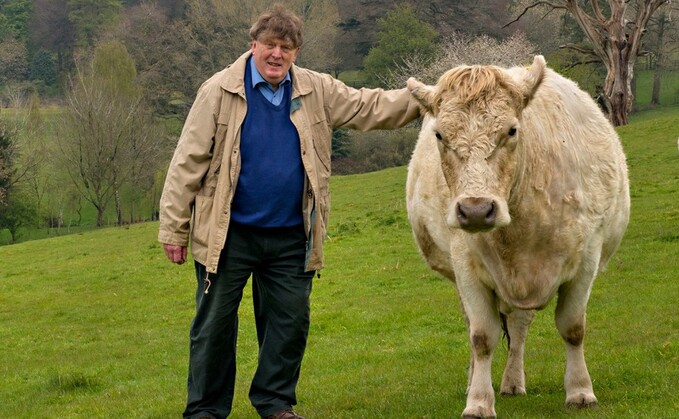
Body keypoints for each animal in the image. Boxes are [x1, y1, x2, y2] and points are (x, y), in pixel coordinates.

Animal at [404, 56, 632, 419]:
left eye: (511, 130)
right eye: (439, 134)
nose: (476, 210)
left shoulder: (587, 259)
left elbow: (573, 328)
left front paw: (581, 391)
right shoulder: (465, 264)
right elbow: (481, 336)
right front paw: (478, 401)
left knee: (520, 325)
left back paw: (513, 382)